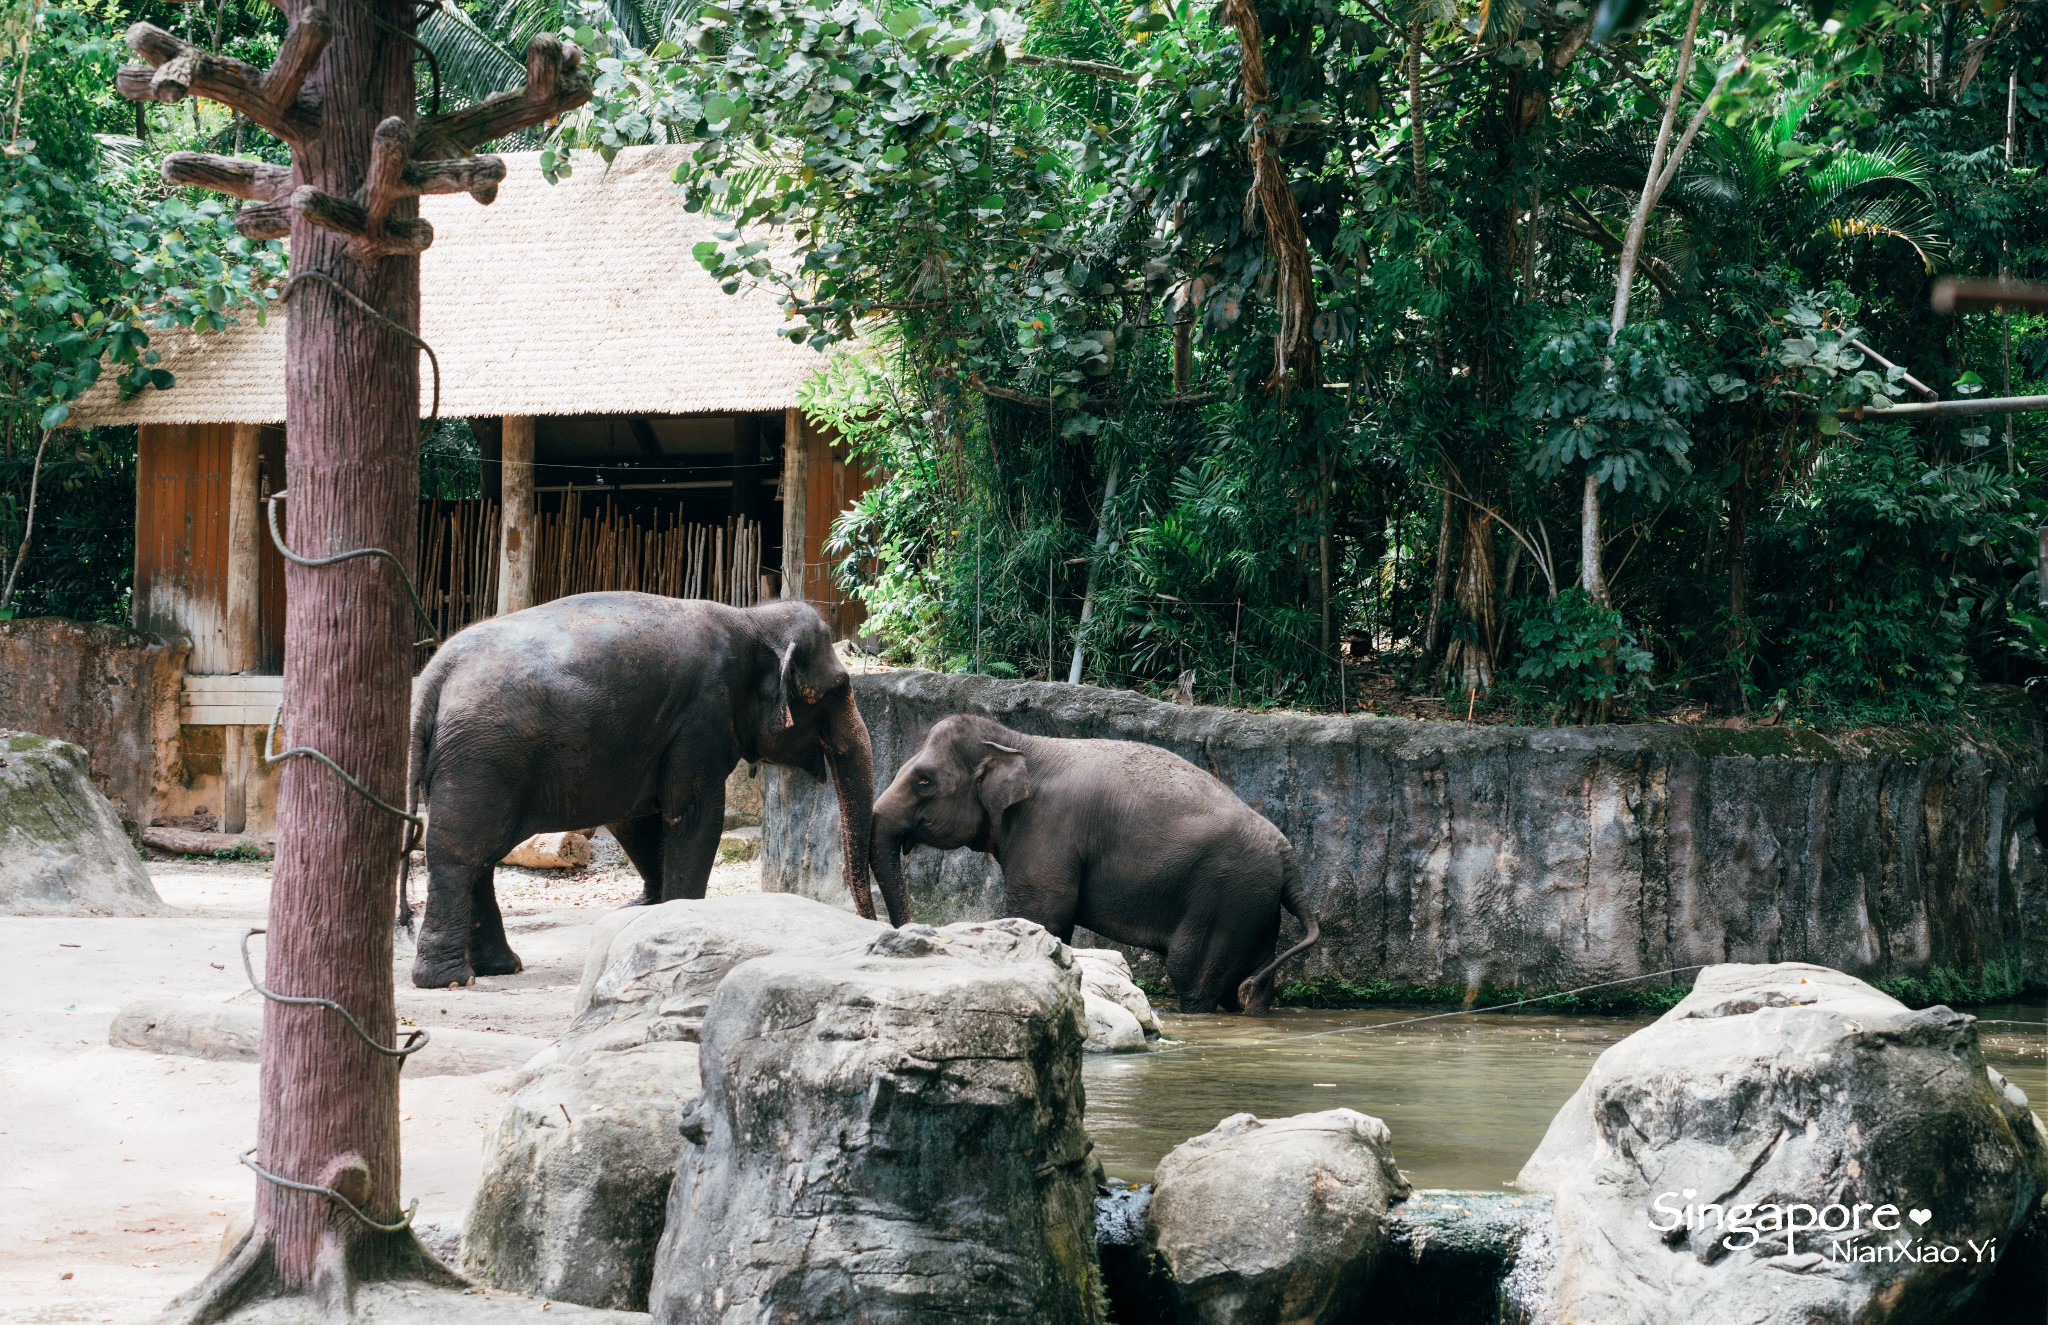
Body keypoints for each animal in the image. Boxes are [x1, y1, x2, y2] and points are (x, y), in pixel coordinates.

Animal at [407, 597, 897, 991]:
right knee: (459, 856)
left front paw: (647, 915)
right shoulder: (703, 716)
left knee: (479, 858)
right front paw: (675, 919)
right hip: (481, 761)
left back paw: (500, 968)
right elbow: (695, 815)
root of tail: (432, 677)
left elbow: (635, 817)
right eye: (839, 689)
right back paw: (449, 980)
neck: (750, 618)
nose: (876, 927)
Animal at [864, 716, 1310, 1015]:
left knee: (1192, 975)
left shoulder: (1048, 829)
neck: (1017, 741)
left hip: (1224, 894)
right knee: (1250, 985)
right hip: (1254, 904)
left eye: (923, 780)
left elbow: (1043, 912)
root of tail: (1287, 854)